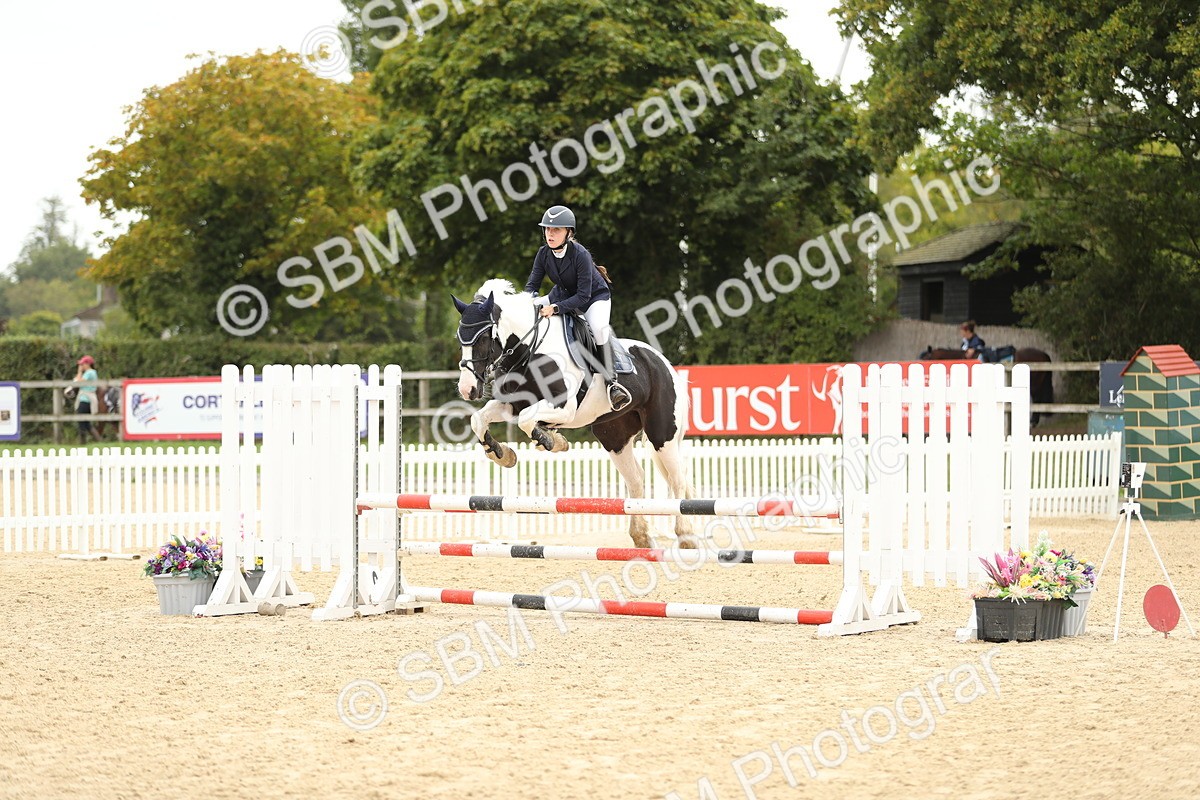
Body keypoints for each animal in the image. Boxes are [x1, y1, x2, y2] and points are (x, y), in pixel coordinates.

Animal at [452, 279, 697, 549]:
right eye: (460, 339)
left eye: (484, 338)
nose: (467, 389)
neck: (530, 350)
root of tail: (665, 364)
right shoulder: (512, 404)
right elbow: (479, 420)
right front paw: (503, 454)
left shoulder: (563, 407)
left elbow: (527, 420)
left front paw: (551, 441)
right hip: (615, 436)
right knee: (636, 479)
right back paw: (642, 537)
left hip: (662, 435)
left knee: (677, 479)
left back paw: (686, 538)